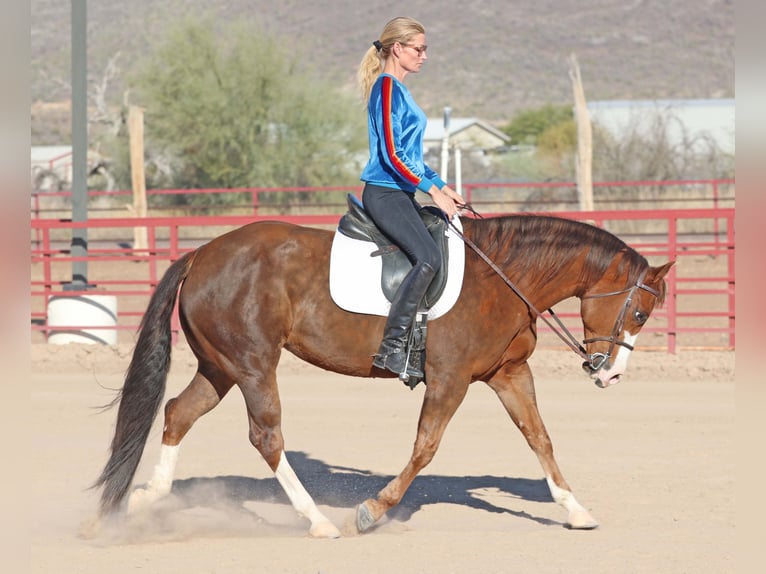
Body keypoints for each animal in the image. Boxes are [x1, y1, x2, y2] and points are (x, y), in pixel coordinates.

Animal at [93, 212, 676, 540]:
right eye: (640, 312)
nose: (609, 375)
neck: (503, 275)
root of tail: (201, 254)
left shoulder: (508, 373)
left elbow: (540, 438)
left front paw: (575, 510)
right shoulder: (450, 379)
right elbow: (425, 447)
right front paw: (372, 511)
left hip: (222, 366)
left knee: (178, 413)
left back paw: (145, 499)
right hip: (254, 364)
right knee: (266, 436)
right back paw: (319, 522)